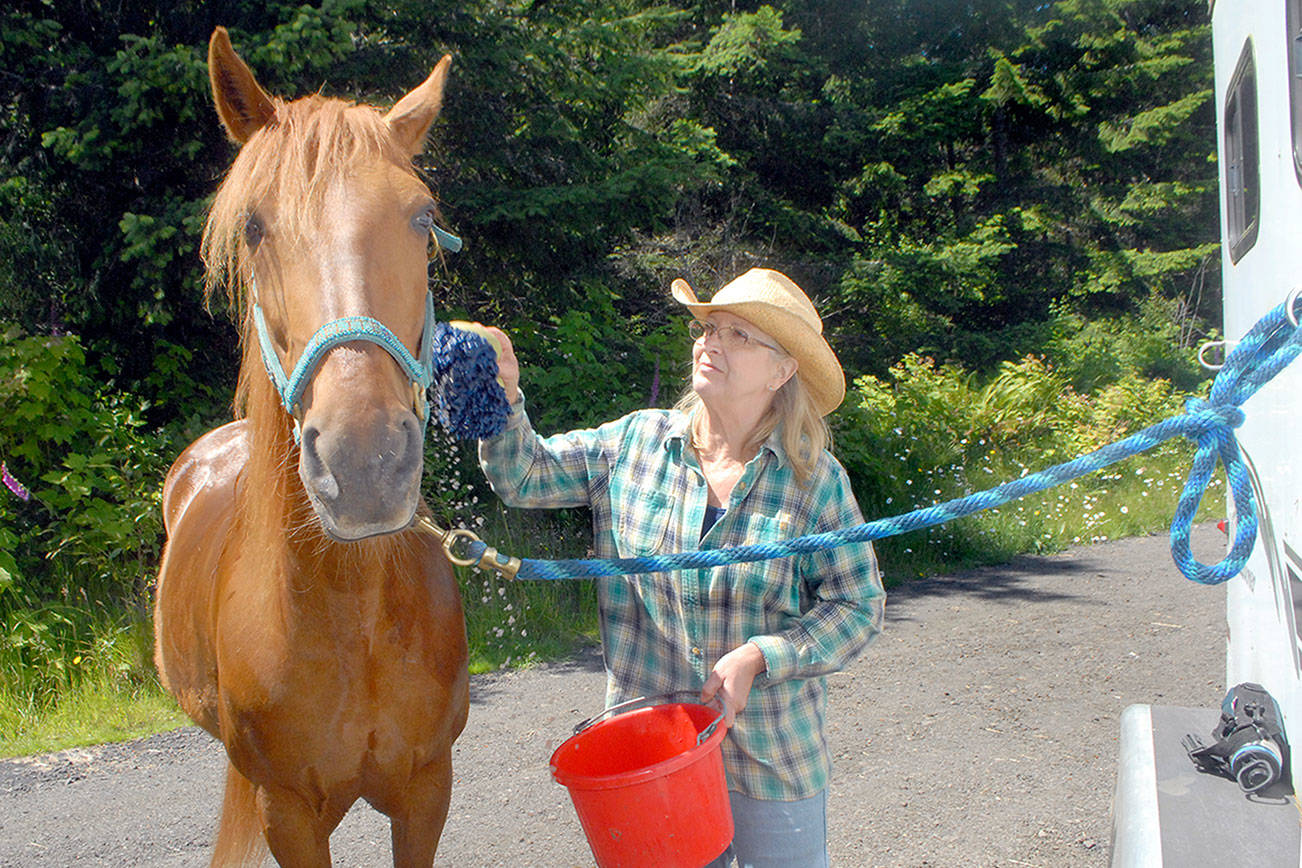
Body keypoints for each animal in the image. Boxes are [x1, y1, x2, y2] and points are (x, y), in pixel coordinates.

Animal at [153, 28, 468, 868]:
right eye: (254, 226)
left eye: (422, 217)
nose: (364, 466)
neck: (351, 611)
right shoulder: (287, 812)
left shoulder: (428, 793)